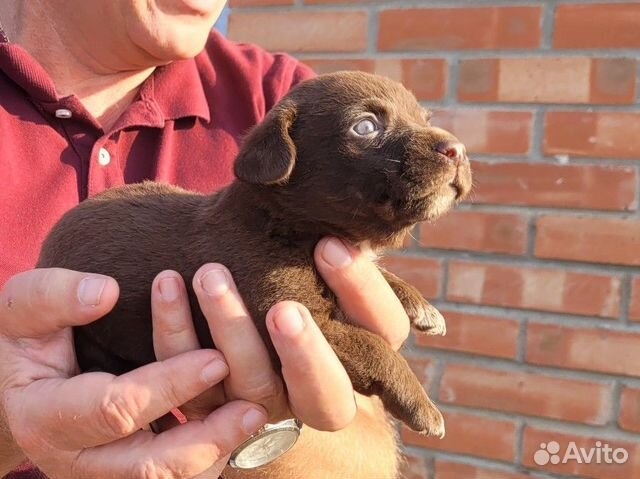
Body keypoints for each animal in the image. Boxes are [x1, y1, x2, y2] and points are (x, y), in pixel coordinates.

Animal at [38, 72, 470, 438]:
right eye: (366, 126)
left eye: (424, 118)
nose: (459, 149)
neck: (288, 226)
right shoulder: (298, 318)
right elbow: (375, 348)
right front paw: (422, 406)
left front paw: (419, 305)